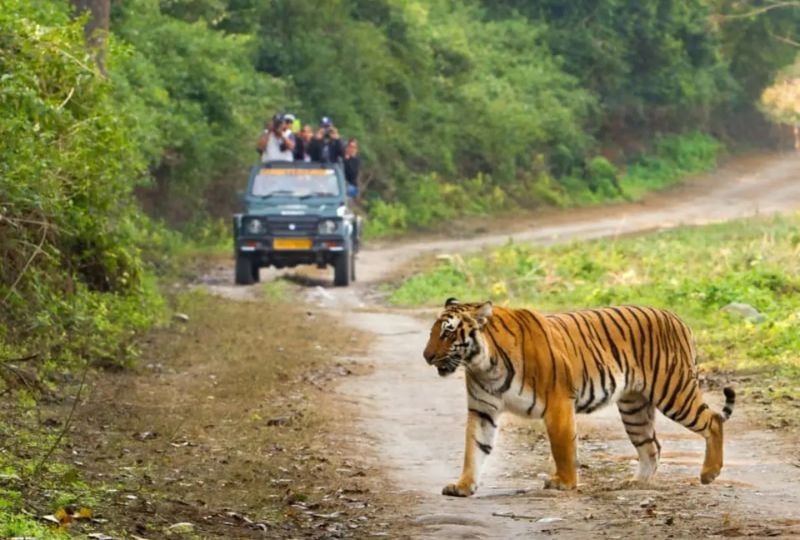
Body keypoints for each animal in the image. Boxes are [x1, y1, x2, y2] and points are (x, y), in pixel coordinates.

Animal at [422, 298, 736, 496]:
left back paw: (709, 473)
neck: (483, 364)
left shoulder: (558, 402)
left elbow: (562, 447)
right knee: (652, 446)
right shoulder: (482, 410)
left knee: (713, 421)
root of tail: (676, 317)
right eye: (433, 332)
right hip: (634, 407)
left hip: (674, 391)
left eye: (448, 333)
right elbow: (474, 449)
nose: (426, 356)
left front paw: (564, 482)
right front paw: (463, 486)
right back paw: (635, 483)